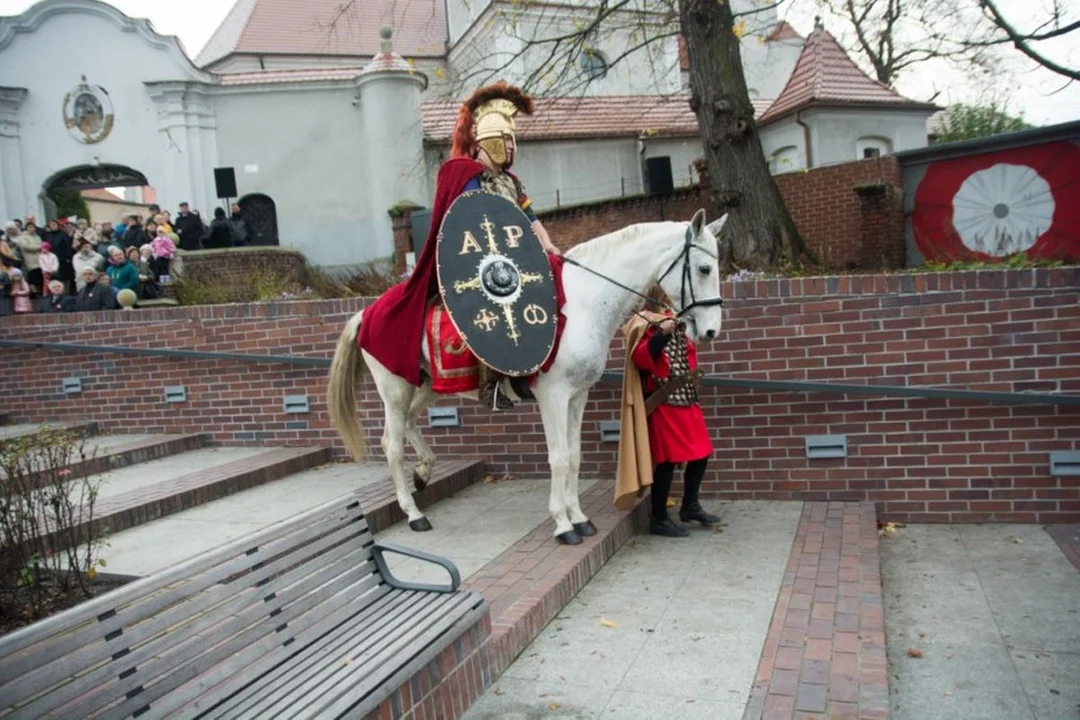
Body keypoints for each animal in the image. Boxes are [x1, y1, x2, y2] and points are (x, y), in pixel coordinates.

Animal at [324, 208, 721, 546]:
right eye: (703, 269)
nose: (711, 331)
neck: (582, 305)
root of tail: (366, 311)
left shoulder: (578, 396)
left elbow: (574, 456)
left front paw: (579, 517)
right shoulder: (553, 396)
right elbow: (558, 457)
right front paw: (563, 524)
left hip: (426, 386)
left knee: (409, 422)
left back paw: (423, 472)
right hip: (394, 389)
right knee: (391, 445)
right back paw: (413, 513)